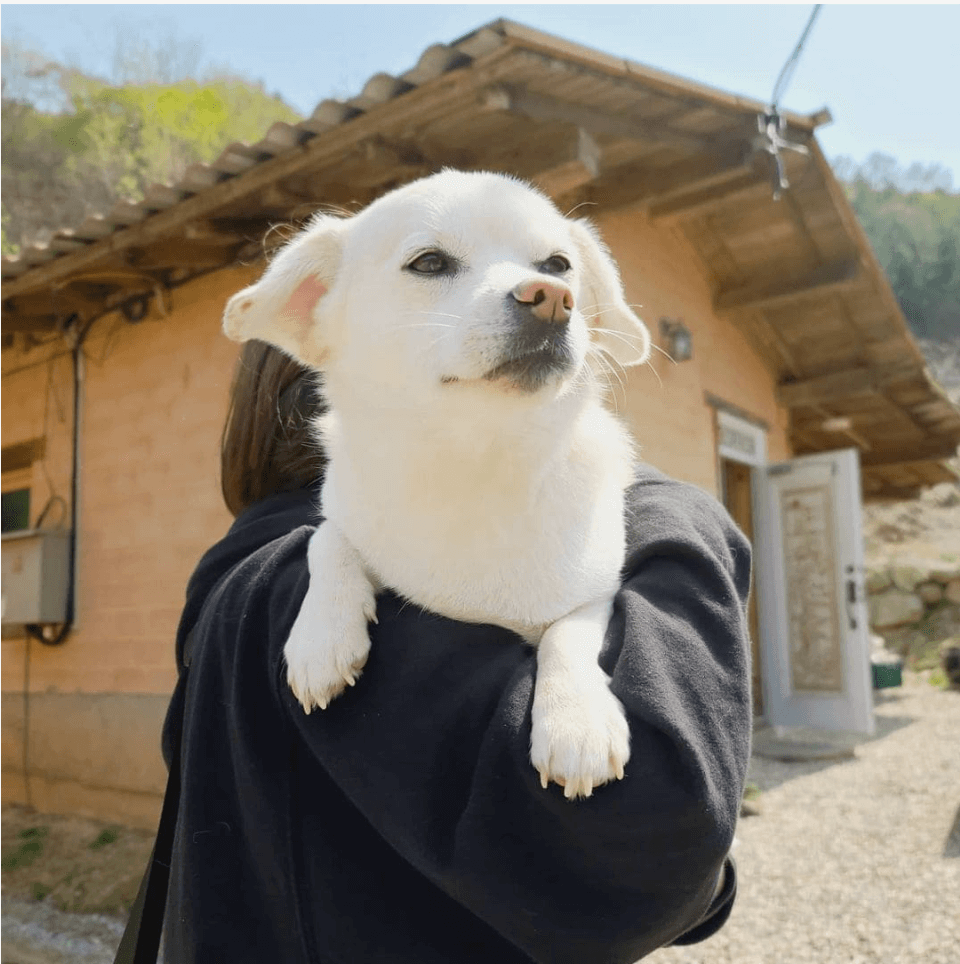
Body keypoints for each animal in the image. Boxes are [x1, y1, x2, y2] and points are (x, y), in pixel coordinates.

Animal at [221, 171, 648, 800]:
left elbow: (567, 634)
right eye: (429, 263)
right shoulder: (344, 518)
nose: (551, 296)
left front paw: (578, 720)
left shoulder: (596, 593)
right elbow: (327, 539)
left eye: (558, 265)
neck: (471, 463)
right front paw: (321, 636)